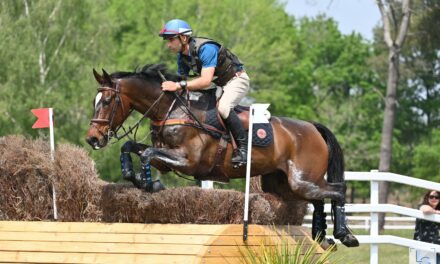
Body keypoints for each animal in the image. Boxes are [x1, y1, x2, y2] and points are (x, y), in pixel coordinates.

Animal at [85, 64, 358, 248]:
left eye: (107, 101)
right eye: (94, 100)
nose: (93, 139)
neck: (172, 109)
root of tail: (312, 127)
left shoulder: (187, 161)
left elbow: (147, 154)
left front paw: (150, 184)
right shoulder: (167, 160)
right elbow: (129, 147)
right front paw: (140, 180)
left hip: (301, 180)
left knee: (337, 190)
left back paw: (345, 235)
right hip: (283, 185)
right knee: (318, 199)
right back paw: (322, 237)